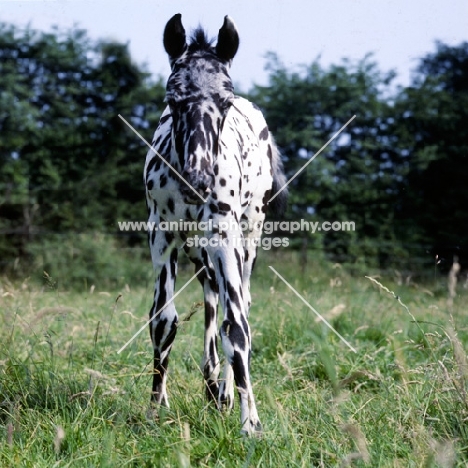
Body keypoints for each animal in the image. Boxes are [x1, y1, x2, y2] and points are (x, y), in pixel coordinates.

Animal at [144, 13, 288, 436]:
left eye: (224, 98)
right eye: (172, 98)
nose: (198, 180)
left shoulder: (226, 237)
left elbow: (236, 327)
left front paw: (250, 423)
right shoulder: (162, 237)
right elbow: (164, 322)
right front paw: (155, 411)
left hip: (246, 238)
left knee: (235, 305)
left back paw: (223, 392)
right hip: (198, 249)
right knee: (209, 298)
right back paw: (211, 388)